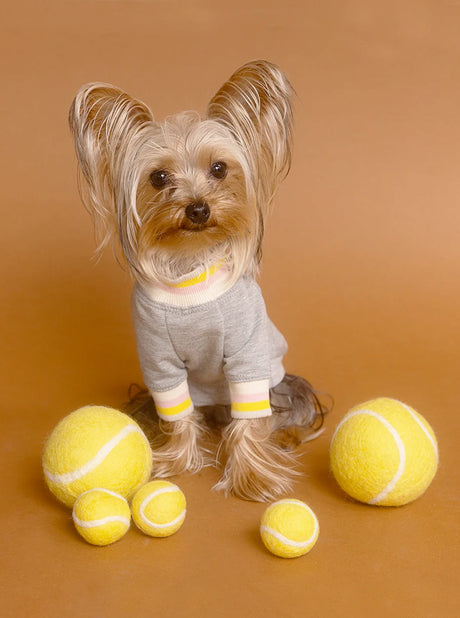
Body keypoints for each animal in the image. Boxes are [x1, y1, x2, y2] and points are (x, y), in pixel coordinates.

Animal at [69, 59, 328, 500]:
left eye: (219, 168)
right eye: (158, 178)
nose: (198, 208)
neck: (189, 266)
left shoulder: (247, 355)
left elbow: (250, 419)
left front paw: (253, 477)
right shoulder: (159, 361)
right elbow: (176, 412)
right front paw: (174, 461)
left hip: (277, 381)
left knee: (286, 409)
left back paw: (283, 436)